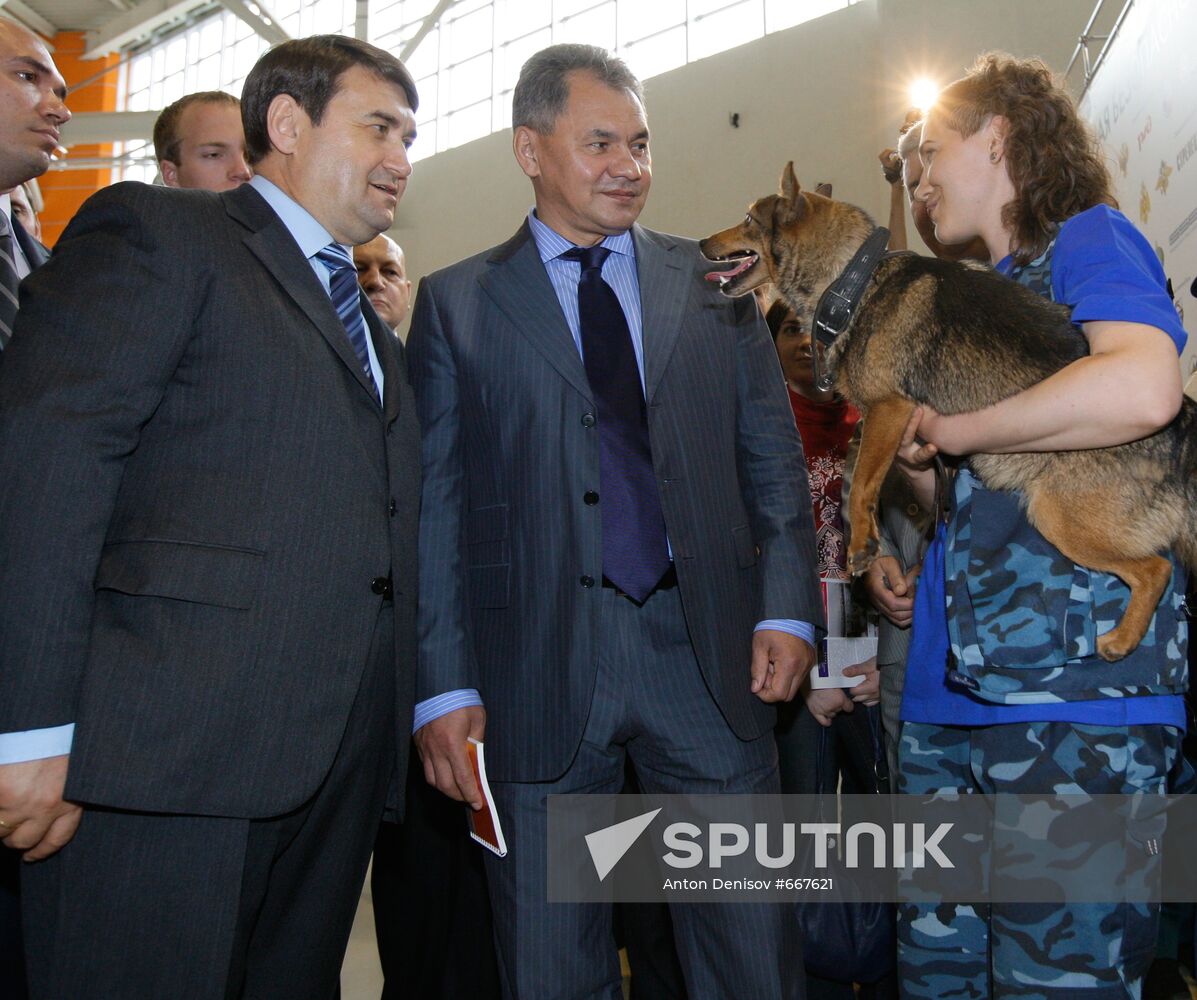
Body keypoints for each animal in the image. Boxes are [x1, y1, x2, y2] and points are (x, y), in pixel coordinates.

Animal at [699, 164, 1197, 665]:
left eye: (748, 218)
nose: (701, 243)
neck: (851, 281)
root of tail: (1180, 436)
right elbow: (862, 474)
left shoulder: (889, 409)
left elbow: (860, 484)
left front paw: (860, 543)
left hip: (1061, 518)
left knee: (1155, 570)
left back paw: (1120, 640)